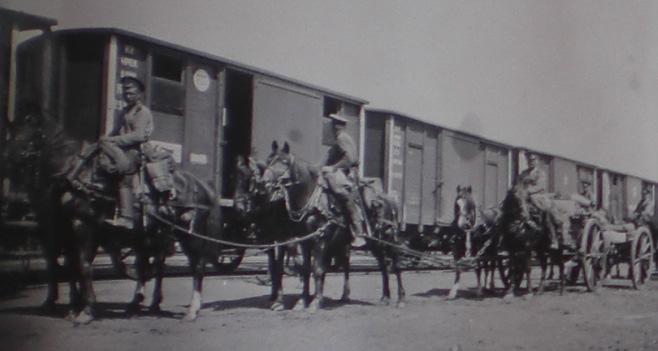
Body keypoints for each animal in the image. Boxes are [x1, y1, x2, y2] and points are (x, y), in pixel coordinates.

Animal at [3, 112, 223, 322]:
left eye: (29, 136)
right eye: (11, 134)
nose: (6, 161)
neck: (77, 175)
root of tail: (203, 185)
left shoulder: (82, 226)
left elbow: (83, 265)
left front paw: (87, 310)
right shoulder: (67, 230)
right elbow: (72, 266)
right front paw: (74, 306)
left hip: (190, 235)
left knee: (196, 267)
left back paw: (191, 310)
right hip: (157, 234)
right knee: (156, 264)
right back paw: (147, 304)